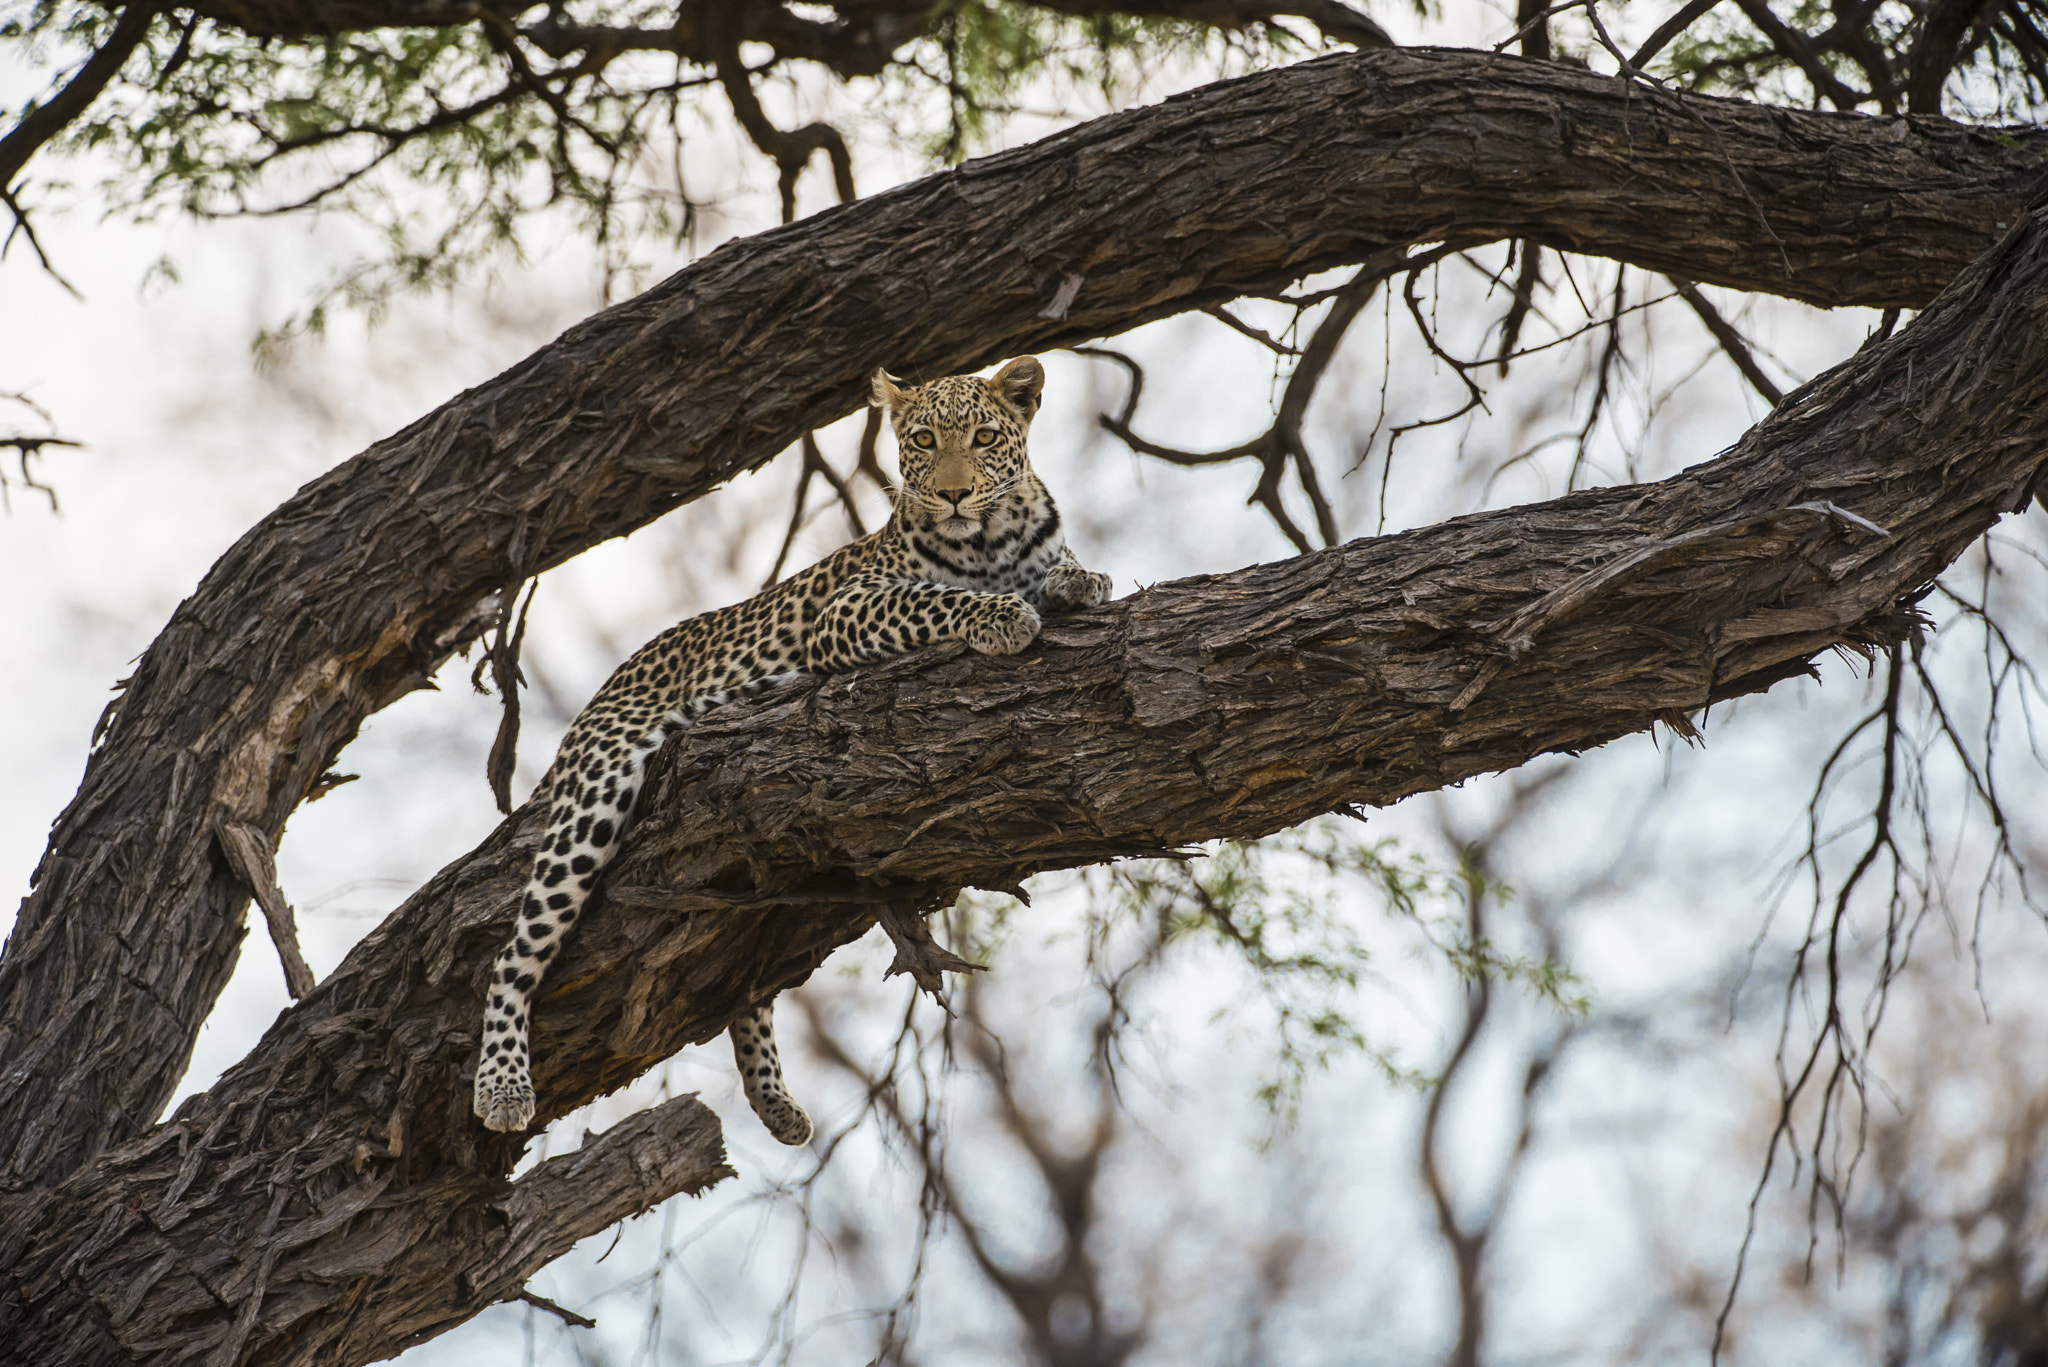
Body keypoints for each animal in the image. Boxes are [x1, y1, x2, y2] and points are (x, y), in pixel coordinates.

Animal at [472, 355, 1114, 1143]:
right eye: (924, 440)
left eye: (986, 436)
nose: (955, 493)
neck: (994, 538)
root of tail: (607, 687)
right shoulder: (847, 611)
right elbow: (937, 599)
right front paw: (1001, 616)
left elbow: (1061, 568)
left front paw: (1077, 578)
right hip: (594, 794)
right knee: (513, 955)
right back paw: (502, 1086)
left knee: (746, 978)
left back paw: (776, 1101)